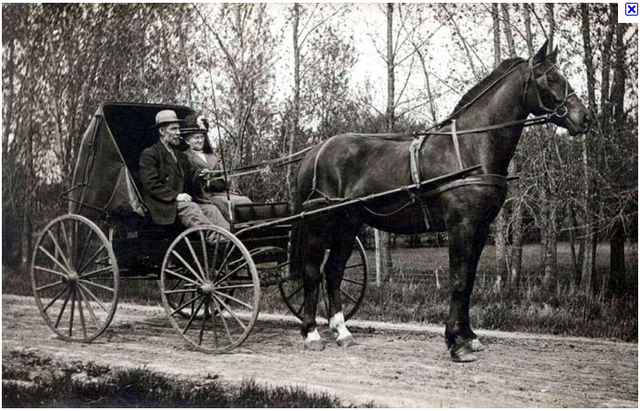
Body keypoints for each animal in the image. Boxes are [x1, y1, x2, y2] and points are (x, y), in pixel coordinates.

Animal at [290, 42, 589, 362]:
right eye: (552, 78)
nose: (584, 118)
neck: (471, 149)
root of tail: (314, 152)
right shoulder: (461, 225)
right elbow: (457, 281)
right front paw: (455, 344)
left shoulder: (481, 228)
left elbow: (468, 281)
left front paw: (468, 337)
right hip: (319, 225)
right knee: (312, 272)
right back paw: (311, 333)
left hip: (349, 225)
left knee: (333, 272)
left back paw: (342, 332)